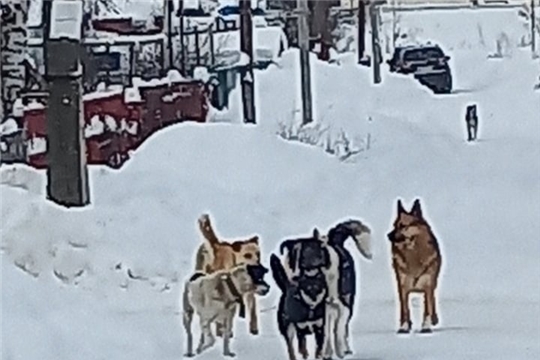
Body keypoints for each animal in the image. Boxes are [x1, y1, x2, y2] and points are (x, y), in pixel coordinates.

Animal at [388, 198, 442, 334]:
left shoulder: (428, 284)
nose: (388, 235)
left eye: (402, 226)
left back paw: (434, 319)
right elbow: (405, 309)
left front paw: (426, 326)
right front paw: (404, 327)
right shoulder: (402, 287)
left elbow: (428, 308)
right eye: (394, 225)